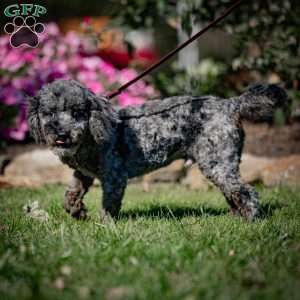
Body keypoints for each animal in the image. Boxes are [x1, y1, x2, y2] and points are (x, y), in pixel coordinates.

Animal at [28, 79, 288, 220]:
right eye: (49, 113)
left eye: (77, 112)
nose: (60, 133)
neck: (93, 135)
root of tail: (231, 104)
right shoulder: (84, 173)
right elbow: (71, 193)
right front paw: (77, 212)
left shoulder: (115, 177)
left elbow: (109, 204)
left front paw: (105, 225)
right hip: (220, 163)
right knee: (234, 192)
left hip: (217, 162)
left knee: (247, 192)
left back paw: (250, 219)